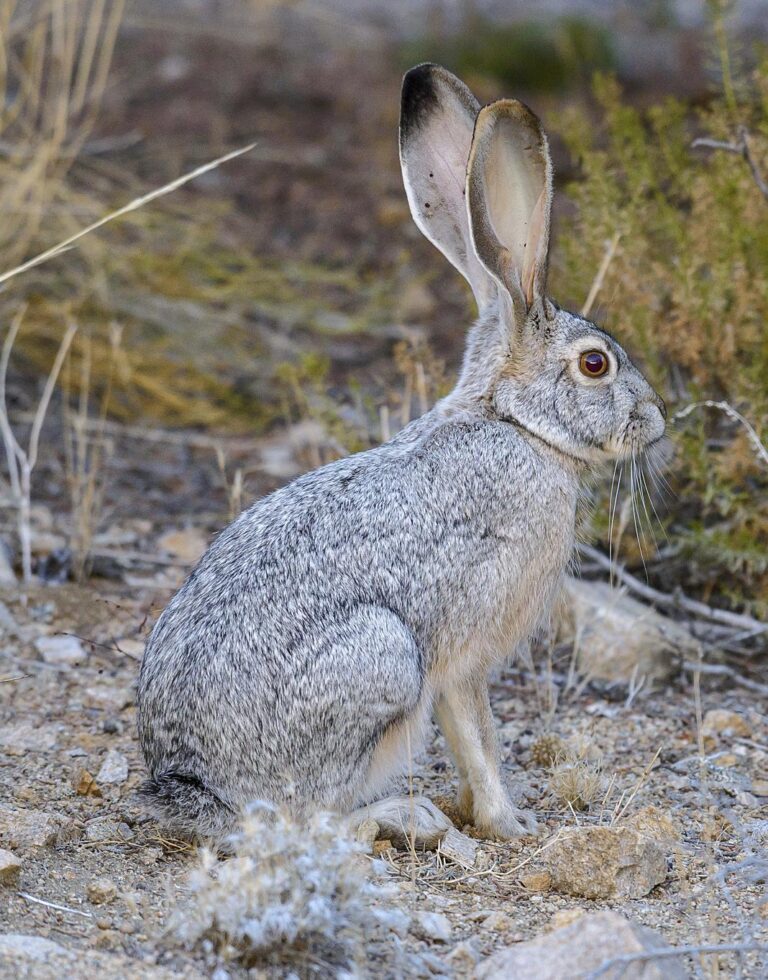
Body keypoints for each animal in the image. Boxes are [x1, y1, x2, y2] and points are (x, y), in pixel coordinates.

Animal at [137, 63, 666, 846]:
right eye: (596, 364)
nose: (656, 421)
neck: (513, 423)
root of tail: (193, 786)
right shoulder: (466, 649)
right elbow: (477, 733)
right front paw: (510, 823)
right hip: (383, 659)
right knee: (305, 817)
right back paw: (402, 815)